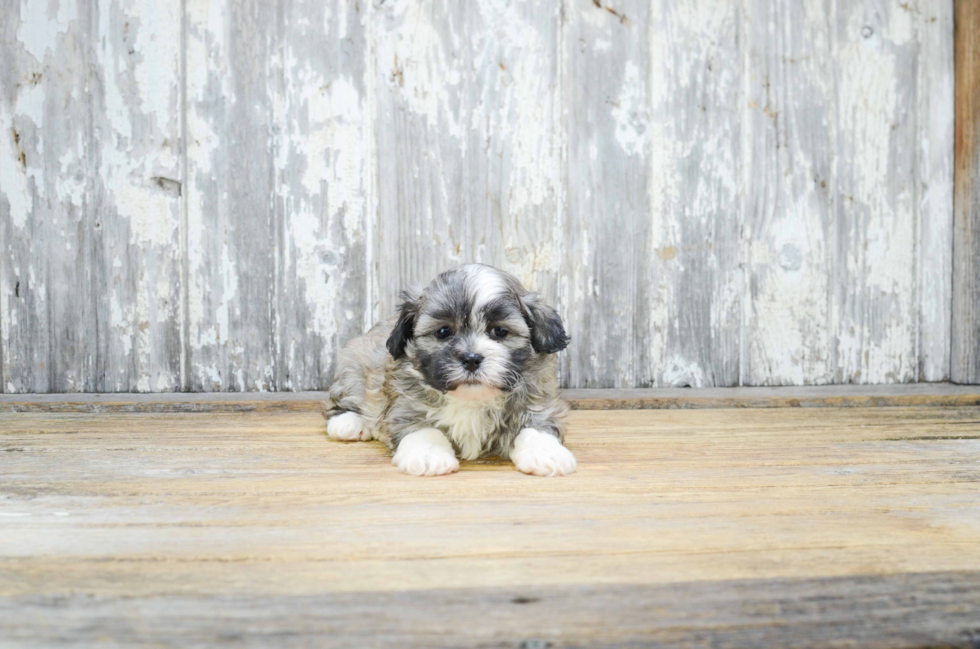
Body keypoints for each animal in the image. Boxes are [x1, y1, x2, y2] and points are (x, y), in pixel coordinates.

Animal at [326, 264, 580, 476]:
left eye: (499, 331)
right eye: (443, 332)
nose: (471, 359)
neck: (471, 399)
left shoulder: (538, 400)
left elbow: (536, 426)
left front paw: (546, 453)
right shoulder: (404, 405)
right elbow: (420, 428)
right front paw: (428, 454)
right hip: (352, 366)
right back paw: (349, 422)